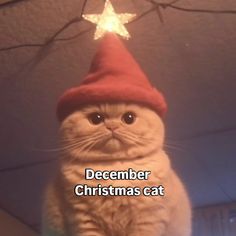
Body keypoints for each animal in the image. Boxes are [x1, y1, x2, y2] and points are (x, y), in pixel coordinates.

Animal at [42, 103, 192, 236]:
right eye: (96, 118)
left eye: (129, 118)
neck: (115, 171)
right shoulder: (84, 220)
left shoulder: (148, 219)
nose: (112, 126)